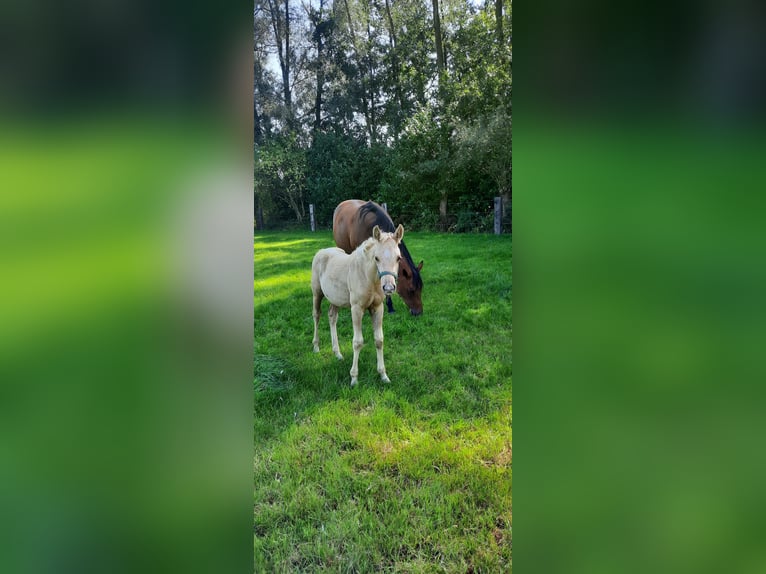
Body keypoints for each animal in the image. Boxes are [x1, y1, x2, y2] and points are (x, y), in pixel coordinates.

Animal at [312, 225, 408, 388]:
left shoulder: (378, 308)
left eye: (398, 258)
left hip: (335, 298)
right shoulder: (356, 309)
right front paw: (354, 378)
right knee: (317, 315)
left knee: (332, 317)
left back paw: (337, 353)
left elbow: (379, 340)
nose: (389, 288)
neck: (369, 278)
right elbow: (357, 342)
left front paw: (383, 375)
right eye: (376, 258)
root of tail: (321, 251)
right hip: (317, 294)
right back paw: (316, 346)